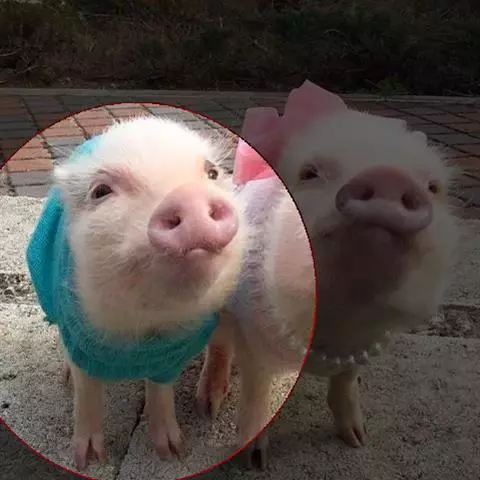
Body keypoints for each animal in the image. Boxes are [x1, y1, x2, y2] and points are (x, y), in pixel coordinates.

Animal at [25, 116, 249, 470]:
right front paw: (88, 461)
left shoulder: (168, 354)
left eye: (212, 173)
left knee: (222, 345)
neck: (142, 328)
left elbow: (160, 390)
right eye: (101, 191)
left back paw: (209, 407)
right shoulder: (77, 331)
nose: (189, 196)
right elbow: (86, 390)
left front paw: (172, 453)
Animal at [195, 80, 459, 468]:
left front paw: (357, 441)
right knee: (218, 345)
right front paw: (254, 461)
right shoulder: (254, 336)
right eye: (309, 173)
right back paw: (208, 406)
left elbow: (346, 383)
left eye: (433, 187)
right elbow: (257, 389)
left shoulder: (365, 344)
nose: (388, 176)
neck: (336, 320)